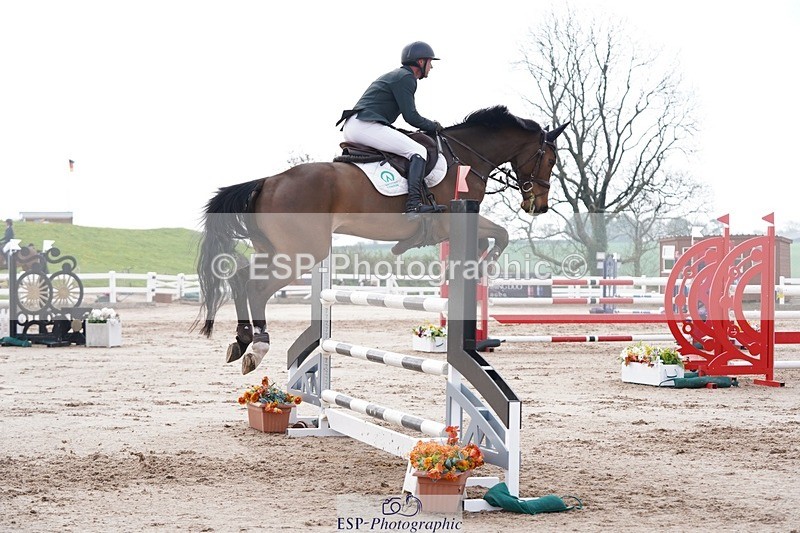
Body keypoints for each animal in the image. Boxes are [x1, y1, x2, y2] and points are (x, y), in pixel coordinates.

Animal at [196, 105, 568, 373]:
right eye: (550, 159)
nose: (538, 206)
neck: (467, 156)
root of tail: (267, 182)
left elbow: (491, 239)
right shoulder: (454, 221)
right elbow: (501, 235)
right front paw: (481, 267)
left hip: (274, 250)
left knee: (239, 277)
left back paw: (242, 340)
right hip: (302, 252)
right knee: (256, 288)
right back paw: (258, 346)